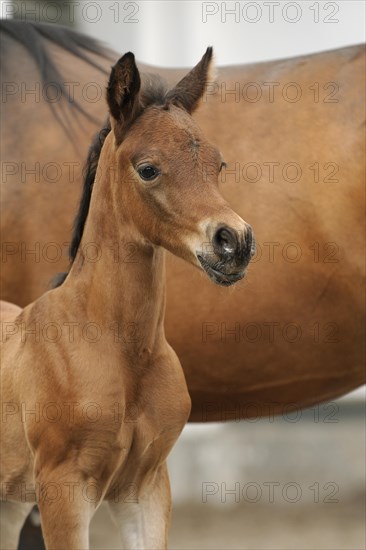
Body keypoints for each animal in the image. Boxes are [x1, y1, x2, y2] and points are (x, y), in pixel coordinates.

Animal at [0, 49, 254, 548]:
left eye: (218, 164)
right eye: (148, 168)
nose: (234, 242)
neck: (121, 349)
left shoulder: (146, 488)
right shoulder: (63, 491)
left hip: (10, 501)